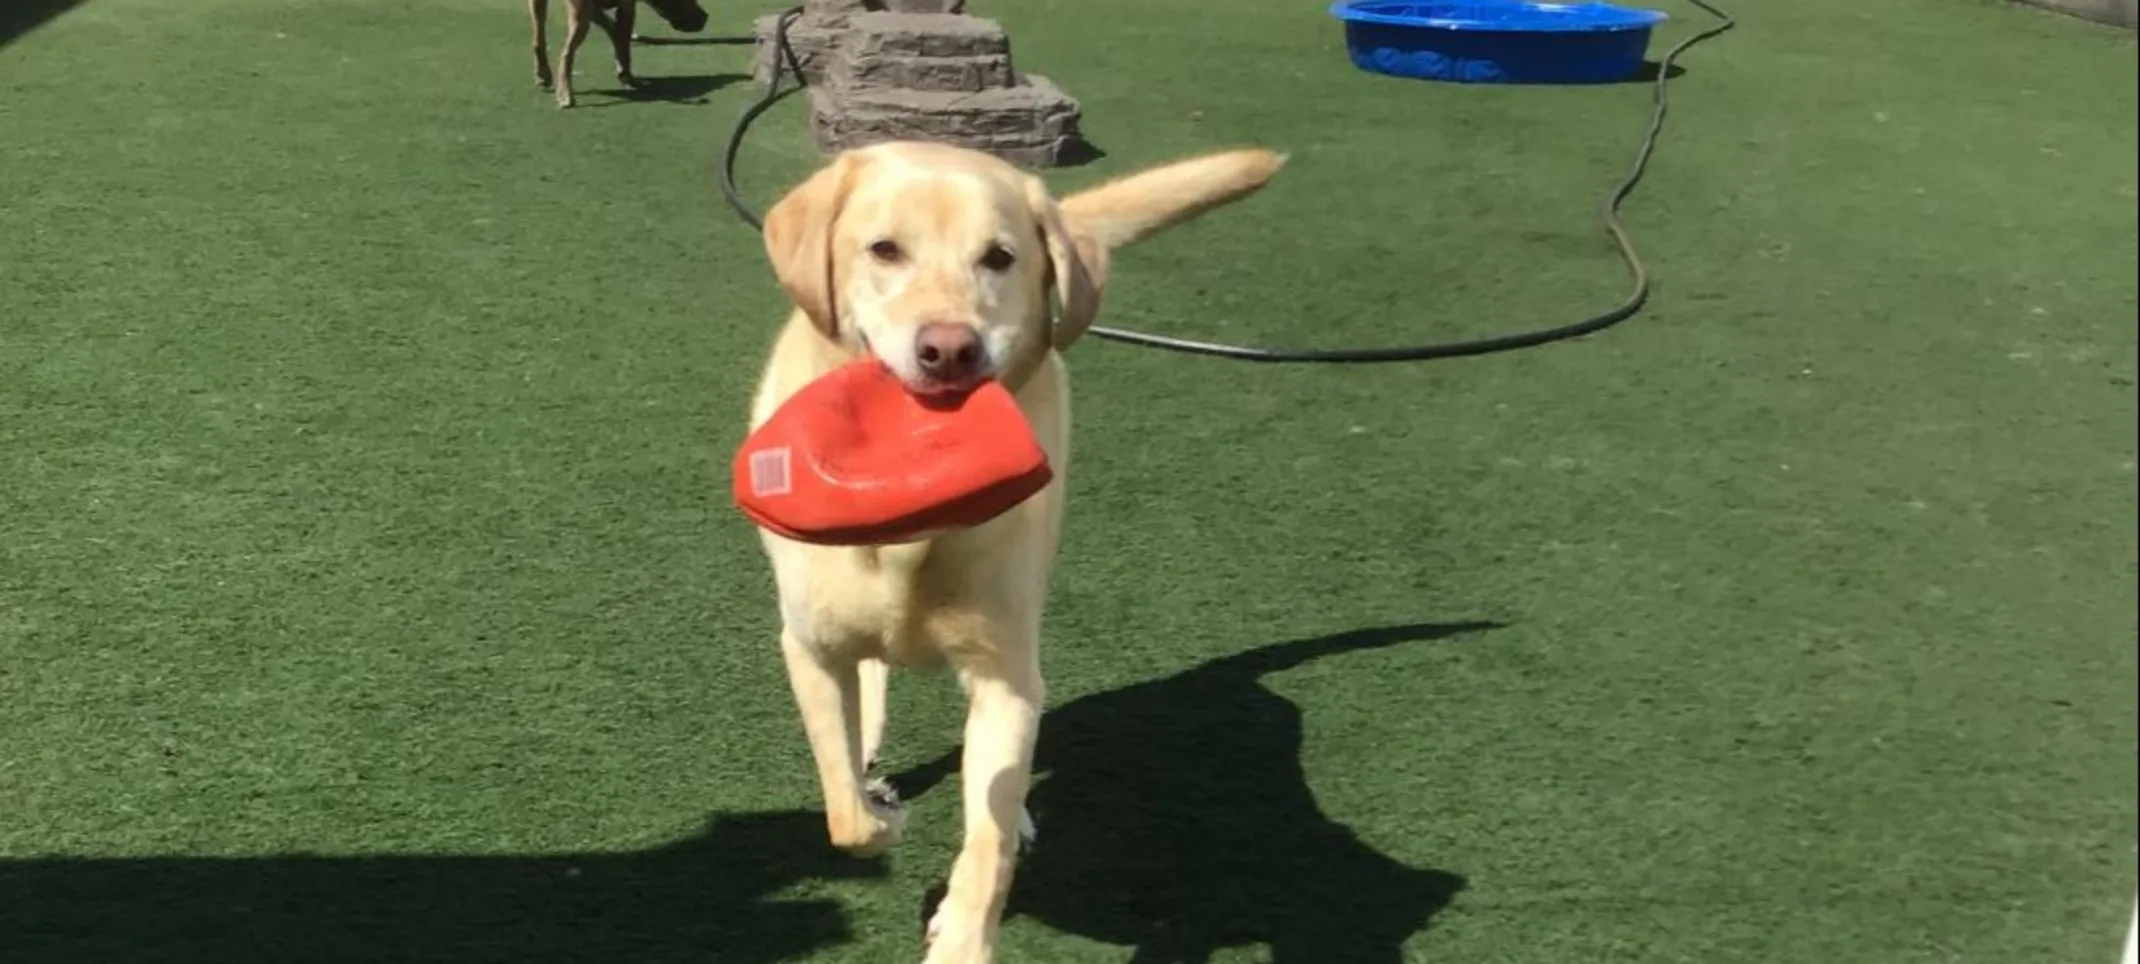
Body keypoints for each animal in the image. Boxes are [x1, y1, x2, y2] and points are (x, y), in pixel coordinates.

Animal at [526, 0, 710, 108]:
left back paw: (542, 74)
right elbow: (623, 44)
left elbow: (615, 33)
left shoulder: (596, 8)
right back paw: (564, 93)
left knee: (538, 39)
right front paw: (627, 75)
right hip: (580, 14)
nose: (705, 17)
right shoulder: (626, 7)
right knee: (567, 53)